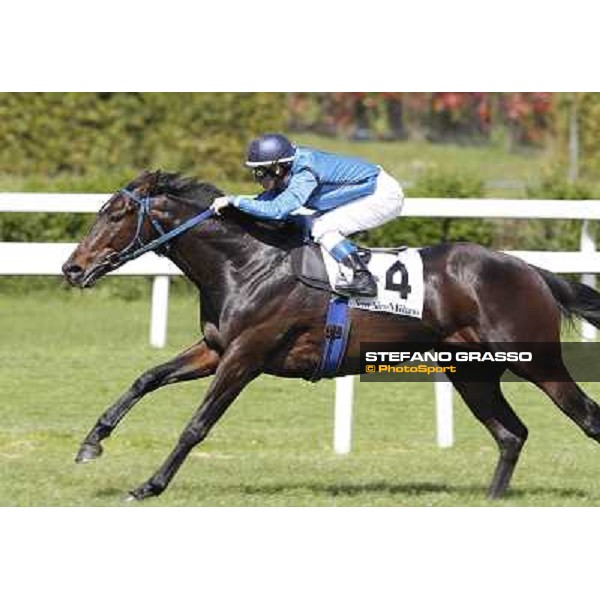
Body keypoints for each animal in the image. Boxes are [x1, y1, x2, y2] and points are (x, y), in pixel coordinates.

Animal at [62, 170, 600, 502]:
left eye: (115, 215)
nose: (72, 268)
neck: (246, 262)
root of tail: (530, 270)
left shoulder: (246, 355)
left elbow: (197, 425)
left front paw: (149, 485)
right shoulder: (216, 349)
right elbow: (146, 378)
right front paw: (91, 444)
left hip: (537, 361)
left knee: (586, 417)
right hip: (471, 373)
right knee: (511, 434)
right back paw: (490, 501)